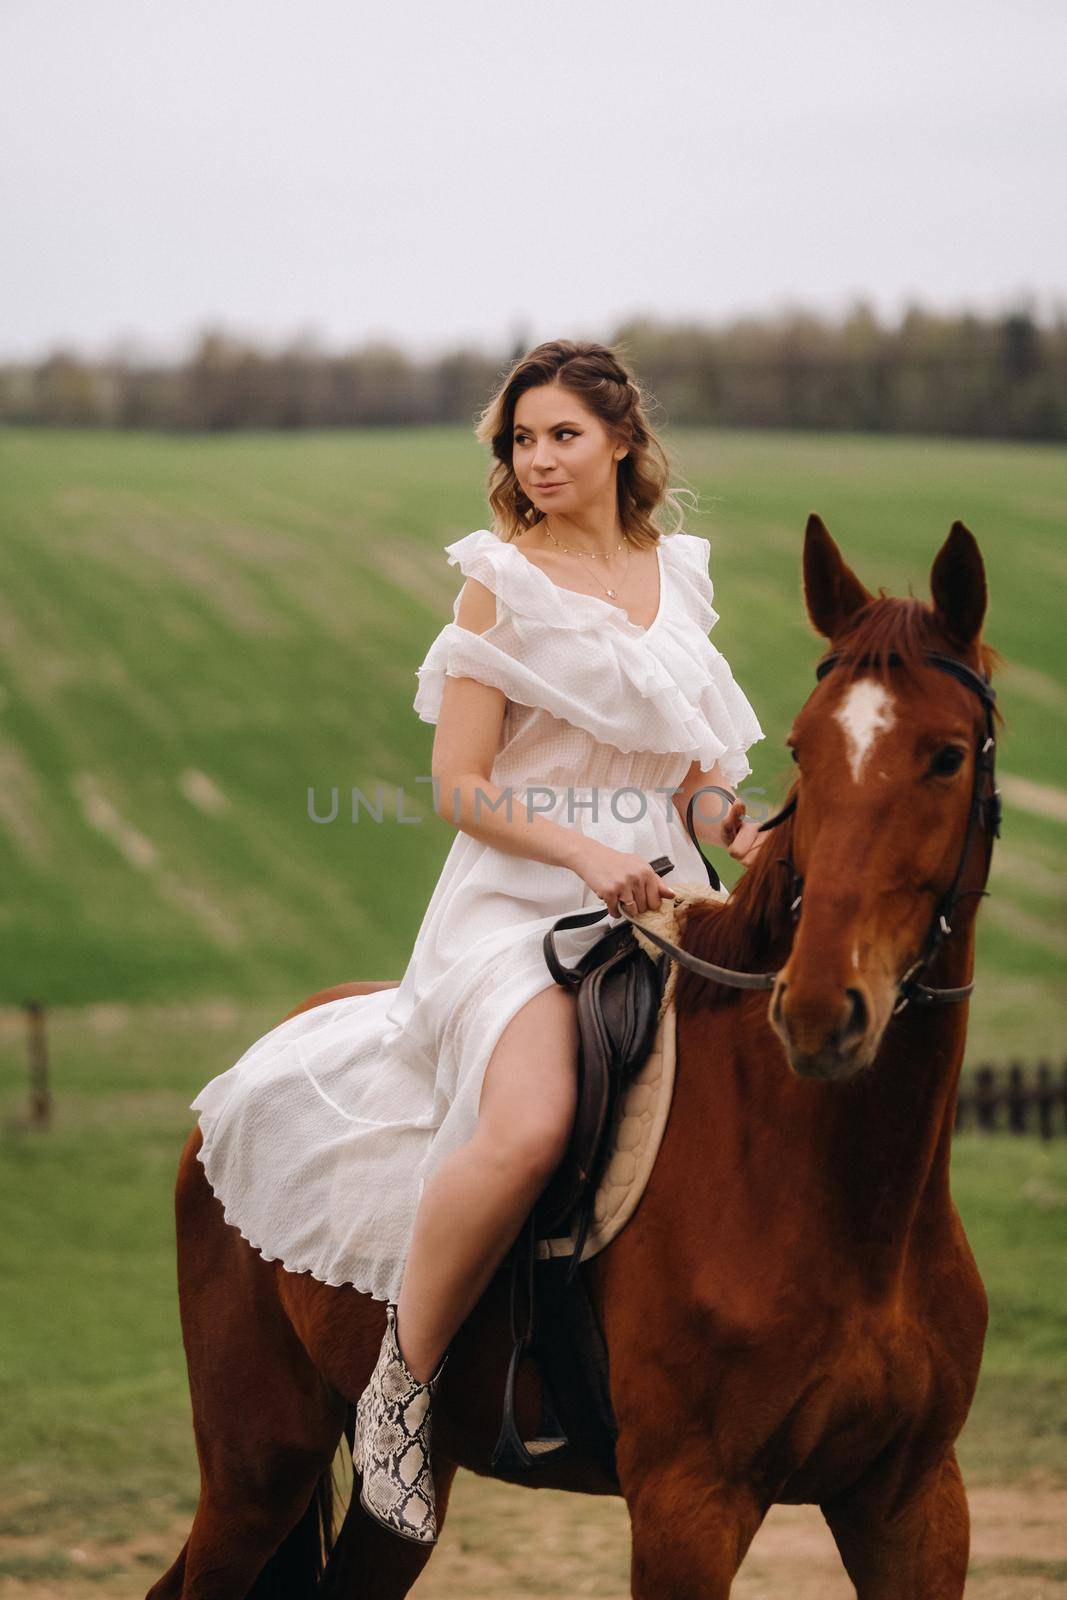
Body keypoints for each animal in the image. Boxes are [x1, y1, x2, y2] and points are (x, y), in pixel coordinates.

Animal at [147, 515, 1004, 1600]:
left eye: (945, 756)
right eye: (804, 750)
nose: (815, 1011)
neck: (848, 1210)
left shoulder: (913, 1504)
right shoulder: (688, 1506)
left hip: (383, 1506)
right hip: (257, 1465)